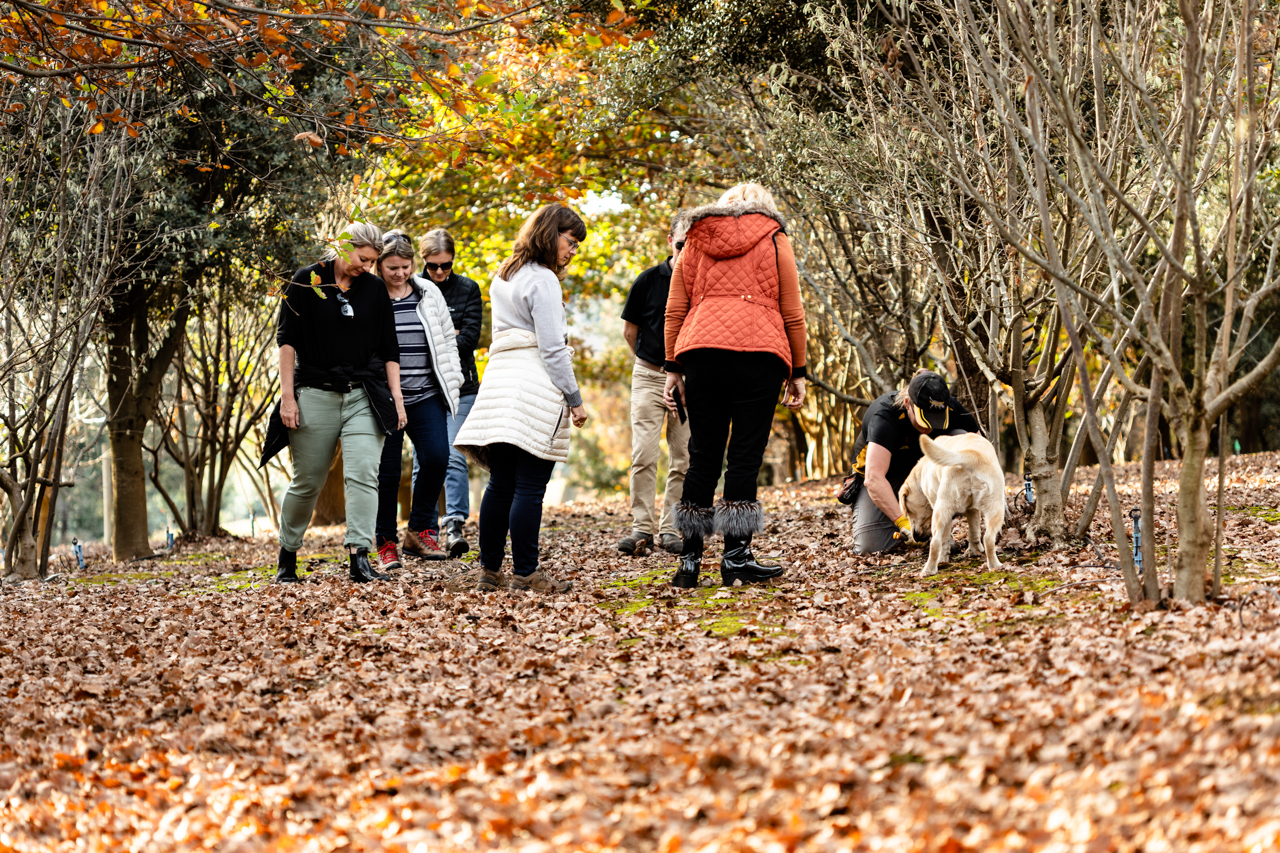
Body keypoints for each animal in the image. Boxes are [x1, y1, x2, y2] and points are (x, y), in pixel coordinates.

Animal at [896, 432, 1003, 578]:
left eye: (908, 511)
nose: (915, 537)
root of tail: (971, 454)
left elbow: (945, 540)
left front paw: (943, 559)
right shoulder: (972, 509)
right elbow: (974, 531)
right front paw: (974, 551)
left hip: (942, 509)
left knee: (935, 542)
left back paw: (929, 570)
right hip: (996, 508)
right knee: (988, 539)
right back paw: (995, 565)